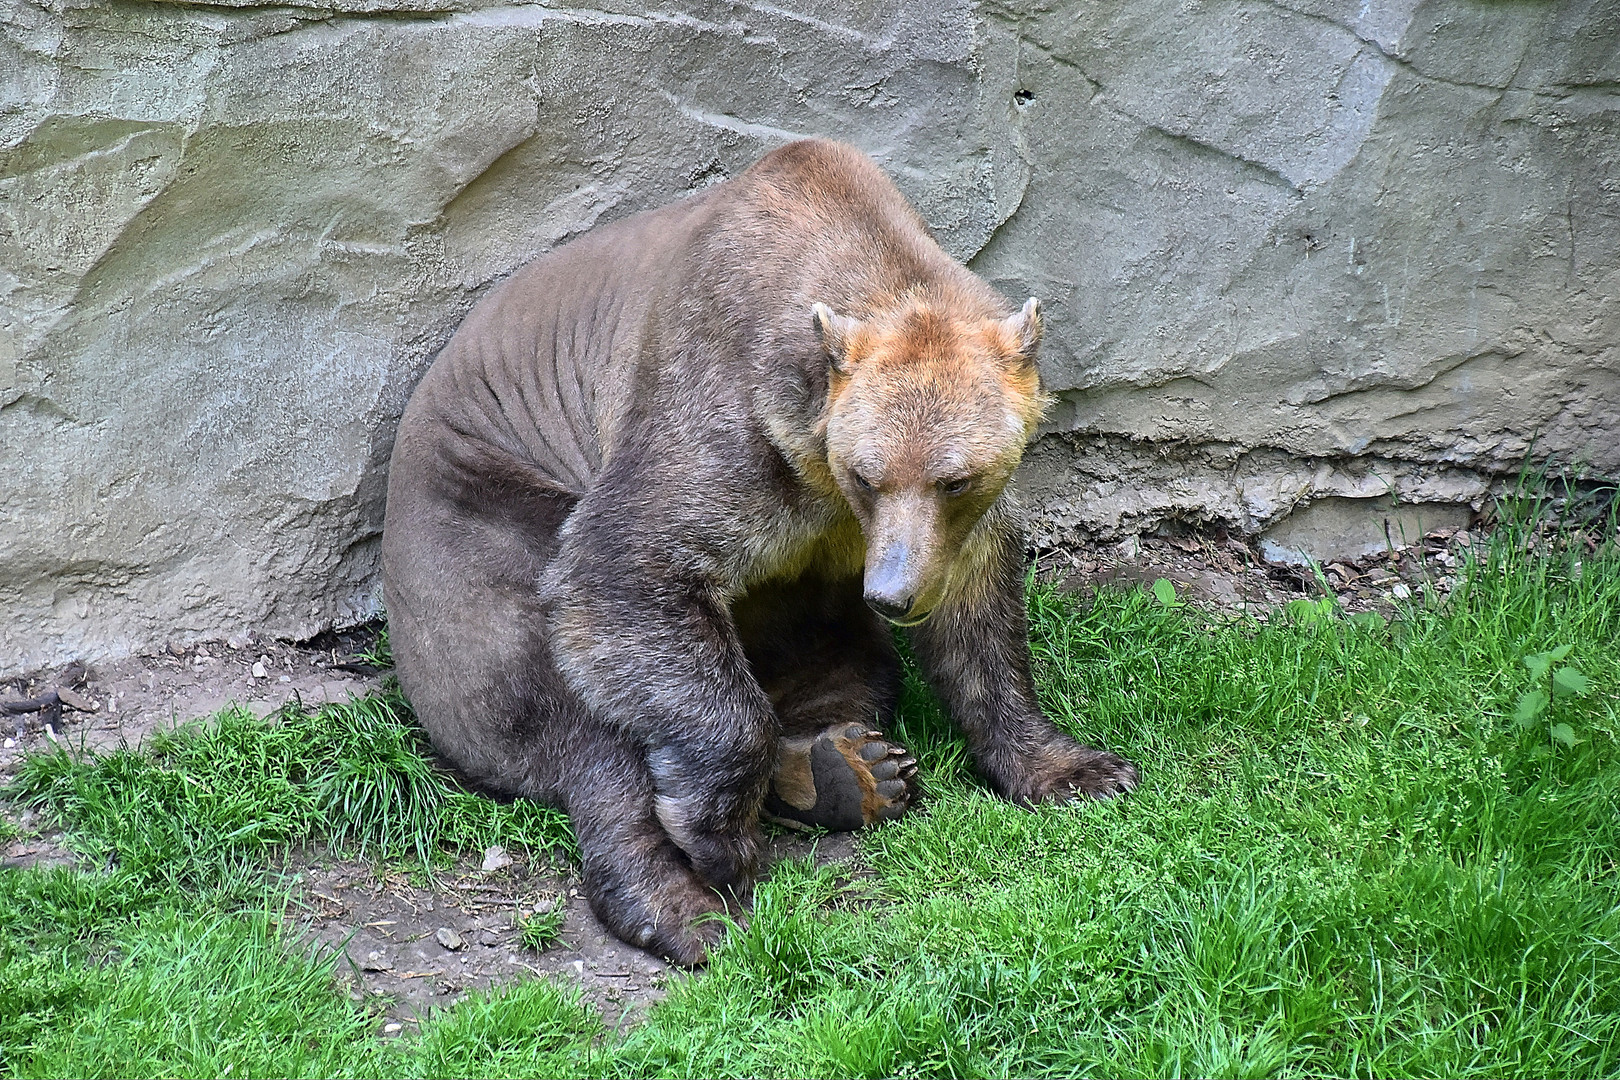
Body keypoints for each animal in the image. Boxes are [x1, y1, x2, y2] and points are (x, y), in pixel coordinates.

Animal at [382, 137, 1140, 965]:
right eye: (867, 474)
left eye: (955, 478)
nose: (893, 593)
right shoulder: (720, 420)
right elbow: (628, 565)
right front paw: (718, 841)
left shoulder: (918, 530)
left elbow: (981, 621)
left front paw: (1079, 768)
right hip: (479, 542)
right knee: (576, 718)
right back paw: (684, 907)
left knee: (843, 663)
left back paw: (847, 768)